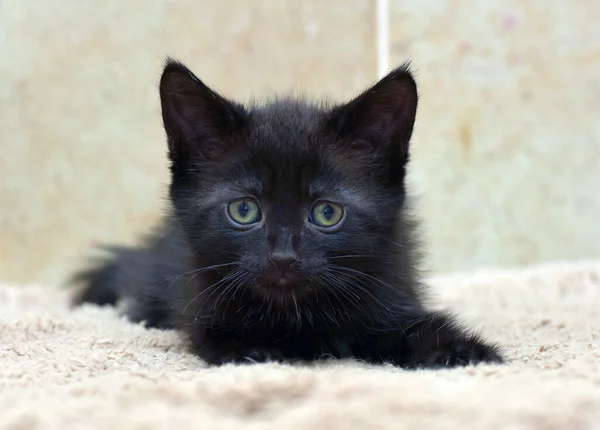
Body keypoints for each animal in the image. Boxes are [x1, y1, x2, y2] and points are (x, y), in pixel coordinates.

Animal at [72, 58, 504, 368]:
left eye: (326, 213)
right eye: (244, 210)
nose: (282, 256)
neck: (297, 316)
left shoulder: (389, 285)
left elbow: (412, 326)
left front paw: (460, 350)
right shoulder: (200, 297)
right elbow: (214, 334)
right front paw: (254, 351)